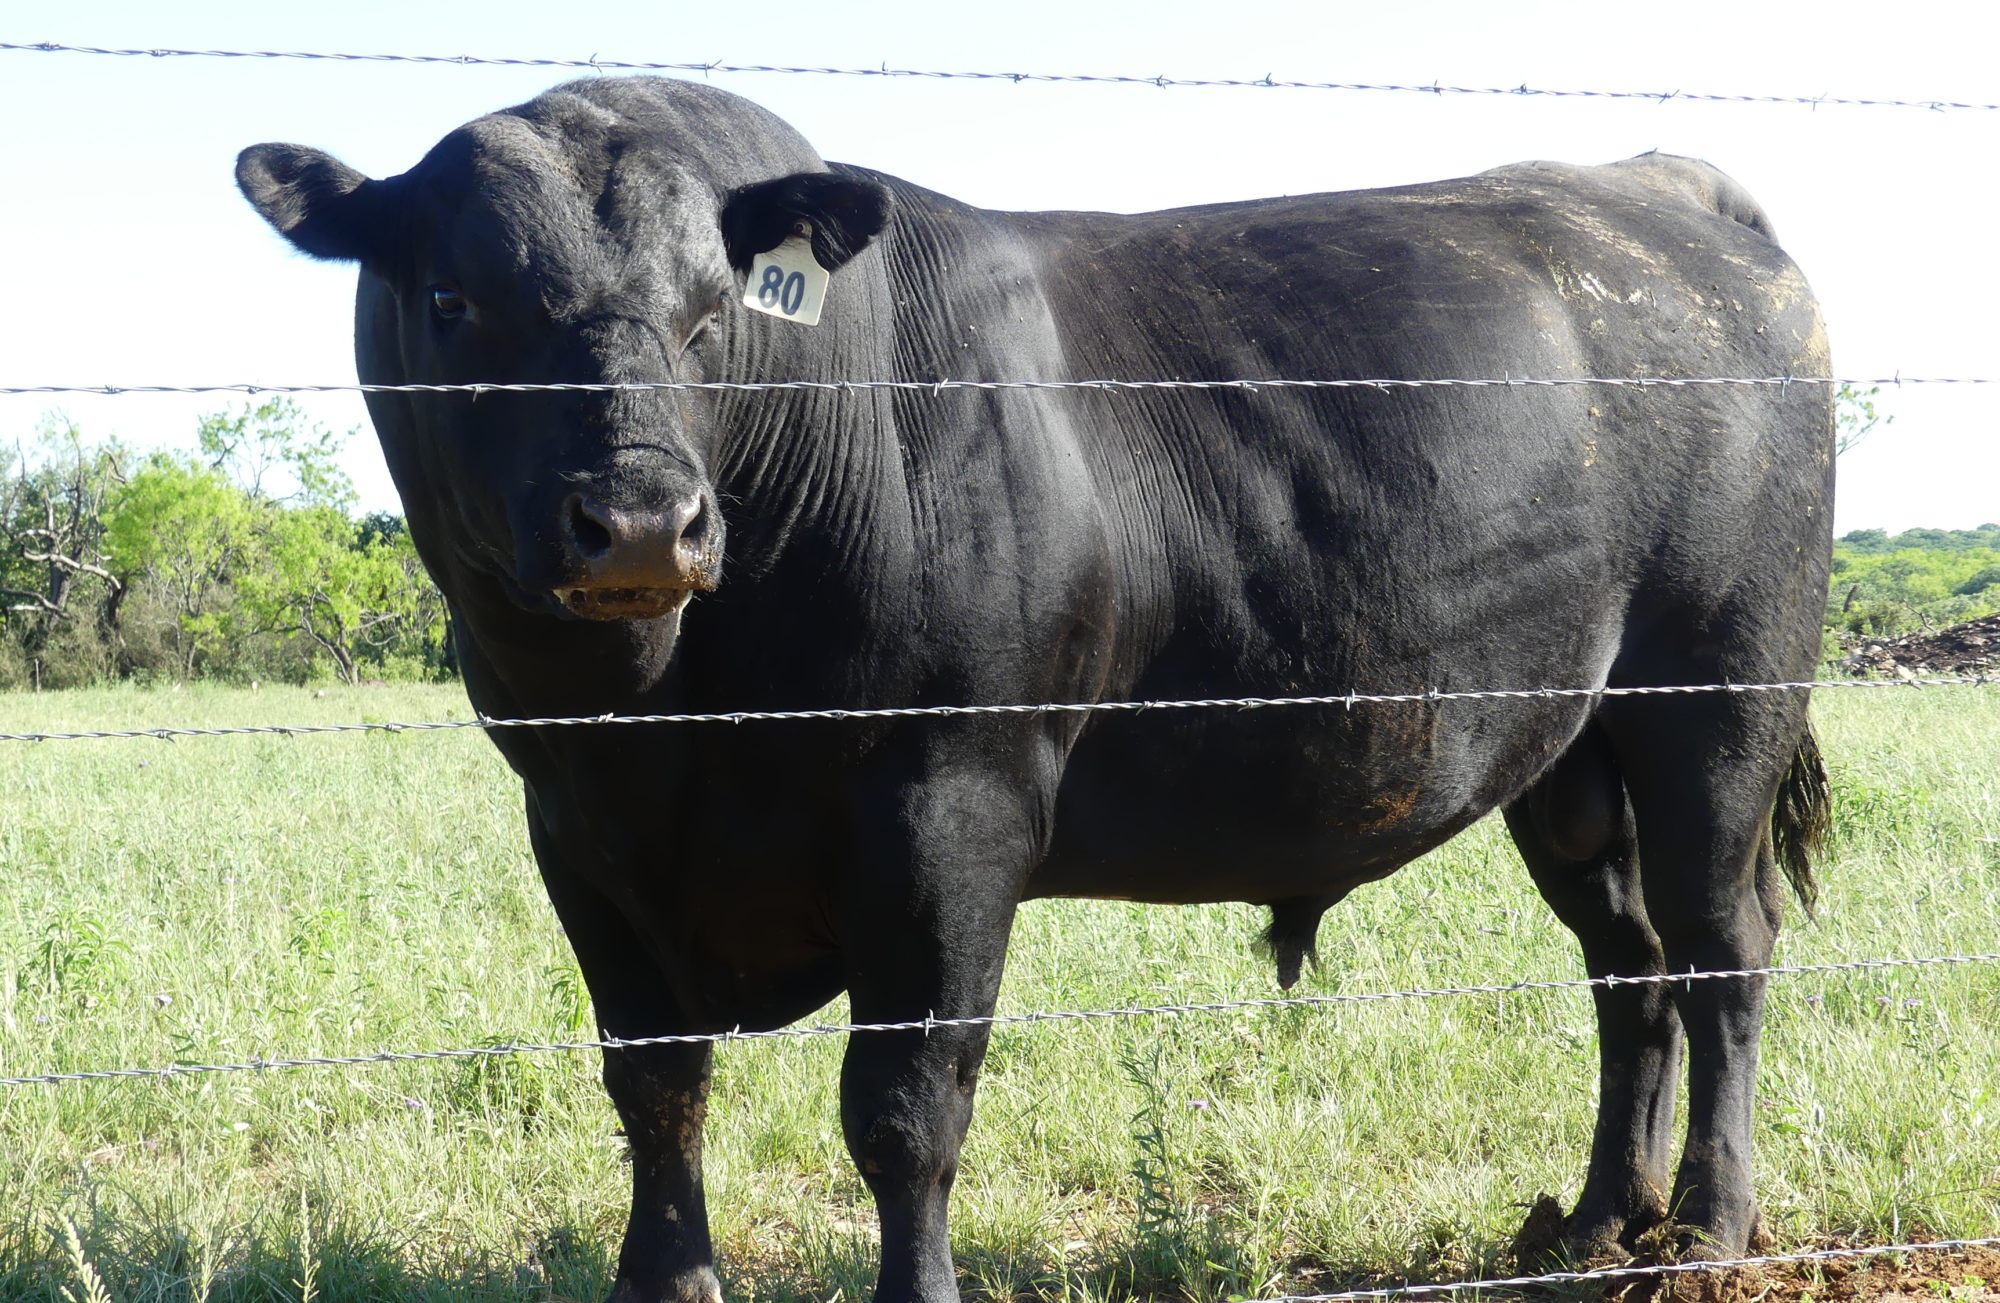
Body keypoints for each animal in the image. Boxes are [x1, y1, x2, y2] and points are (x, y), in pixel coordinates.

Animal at [237, 76, 1834, 1303]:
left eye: (710, 310)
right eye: (454, 299)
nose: (639, 522)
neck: (675, 714)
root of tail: (1646, 188)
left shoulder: (951, 803)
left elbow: (904, 1107)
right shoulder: (575, 821)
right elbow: (655, 1079)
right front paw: (665, 1281)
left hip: (1719, 693)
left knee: (1719, 943)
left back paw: (1705, 1230)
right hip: (1568, 751)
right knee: (1627, 959)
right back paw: (1593, 1219)